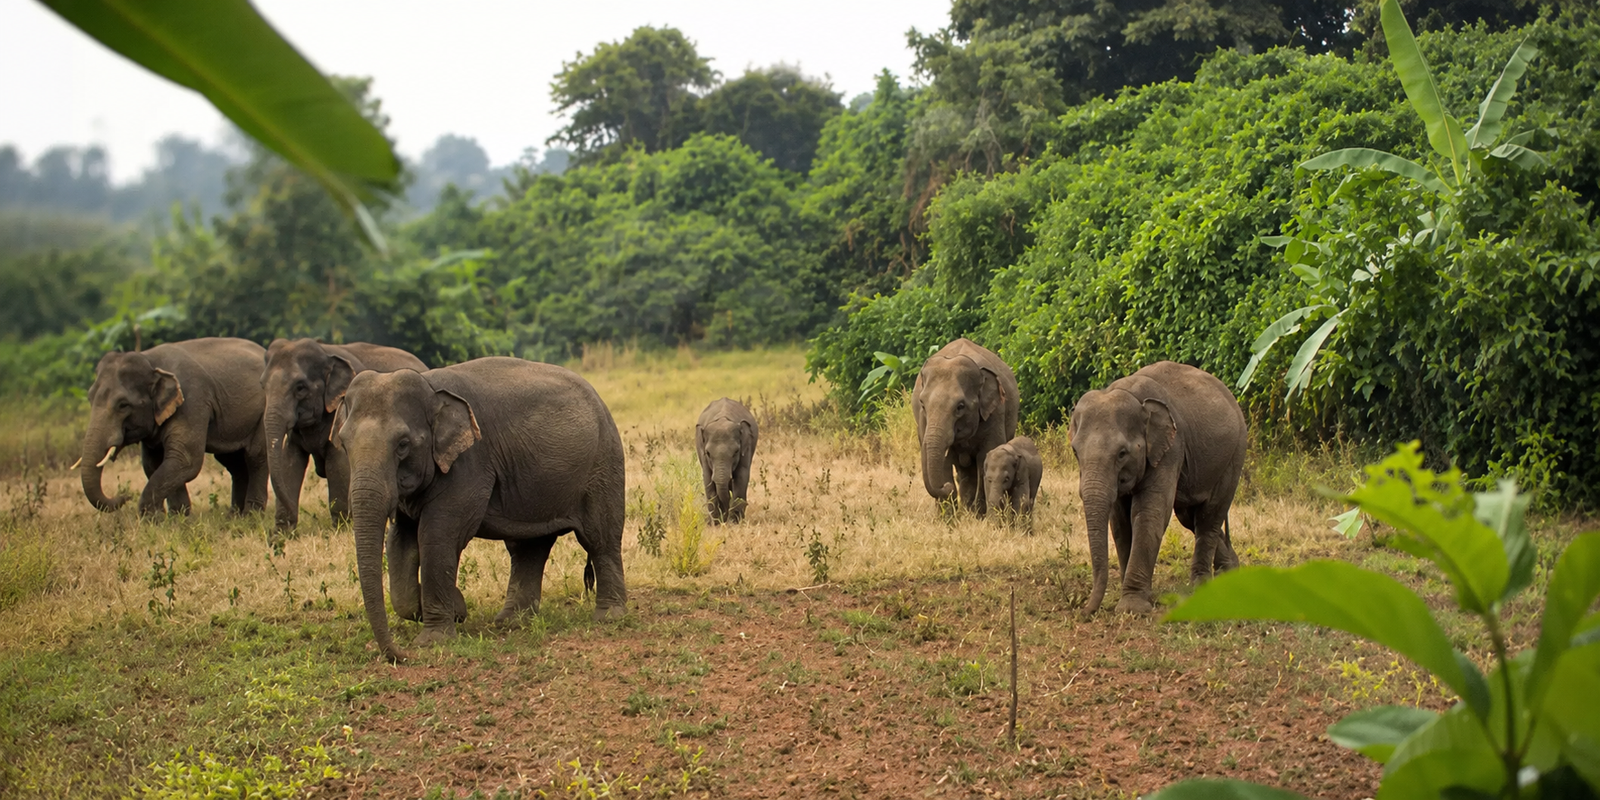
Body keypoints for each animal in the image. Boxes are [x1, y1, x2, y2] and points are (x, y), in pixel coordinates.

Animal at [77, 337, 269, 516]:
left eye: (123, 405)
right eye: (89, 398)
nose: (125, 496)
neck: (150, 360)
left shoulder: (192, 401)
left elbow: (185, 460)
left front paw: (154, 520)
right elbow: (154, 464)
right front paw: (176, 519)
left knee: (255, 458)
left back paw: (251, 515)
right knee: (233, 462)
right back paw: (234, 517)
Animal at [261, 338, 427, 531]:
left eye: (300, 387)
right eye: (262, 385)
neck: (325, 351)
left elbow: (337, 463)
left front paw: (340, 528)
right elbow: (290, 461)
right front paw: (281, 534)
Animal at [331, 357, 627, 663]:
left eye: (403, 445)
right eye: (344, 444)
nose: (401, 657)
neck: (430, 387)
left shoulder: (468, 465)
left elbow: (438, 536)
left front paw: (434, 639)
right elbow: (400, 540)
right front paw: (455, 609)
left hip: (603, 466)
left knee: (599, 538)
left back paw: (609, 617)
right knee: (528, 547)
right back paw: (511, 622)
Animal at [913, 338, 1020, 514]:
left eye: (960, 406)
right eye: (922, 403)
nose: (947, 487)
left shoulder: (995, 412)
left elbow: (986, 456)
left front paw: (978, 515)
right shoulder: (922, 419)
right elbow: (944, 463)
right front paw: (948, 517)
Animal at [1069, 361, 1246, 615]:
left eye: (1122, 453)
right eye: (1075, 451)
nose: (1083, 610)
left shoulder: (1171, 448)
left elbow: (1149, 512)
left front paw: (1132, 607)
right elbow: (1120, 521)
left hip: (1234, 455)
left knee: (1208, 516)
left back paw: (1202, 586)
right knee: (1189, 516)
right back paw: (1231, 571)